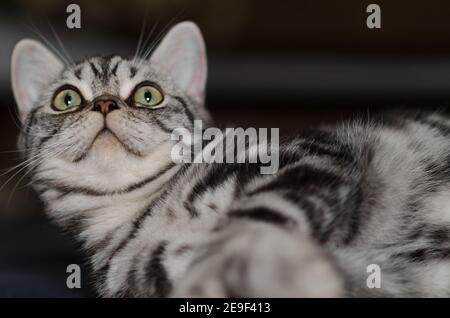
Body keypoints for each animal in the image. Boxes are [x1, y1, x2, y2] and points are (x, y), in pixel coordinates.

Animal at [8, 22, 450, 298]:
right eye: (67, 99)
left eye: (148, 95)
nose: (103, 103)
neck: (142, 213)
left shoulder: (305, 157)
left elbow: (246, 229)